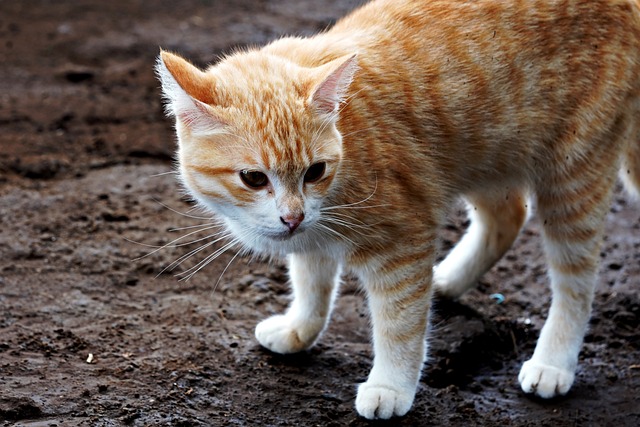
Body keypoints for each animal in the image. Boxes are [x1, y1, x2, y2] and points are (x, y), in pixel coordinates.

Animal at [155, 0, 640, 422]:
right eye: (254, 178)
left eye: (315, 171)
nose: (291, 217)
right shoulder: (316, 233)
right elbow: (312, 283)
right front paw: (300, 328)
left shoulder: (403, 244)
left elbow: (400, 325)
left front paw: (391, 387)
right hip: (484, 152)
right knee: (508, 217)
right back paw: (447, 280)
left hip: (572, 178)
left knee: (576, 282)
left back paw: (554, 361)